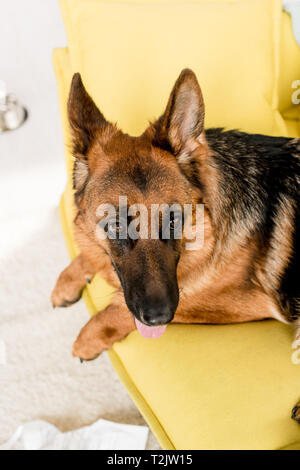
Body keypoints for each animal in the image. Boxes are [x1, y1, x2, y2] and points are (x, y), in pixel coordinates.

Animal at [51, 70, 300, 422]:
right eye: (115, 225)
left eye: (173, 220)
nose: (158, 316)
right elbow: (89, 251)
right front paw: (70, 277)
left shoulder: (243, 303)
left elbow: (120, 307)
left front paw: (92, 333)